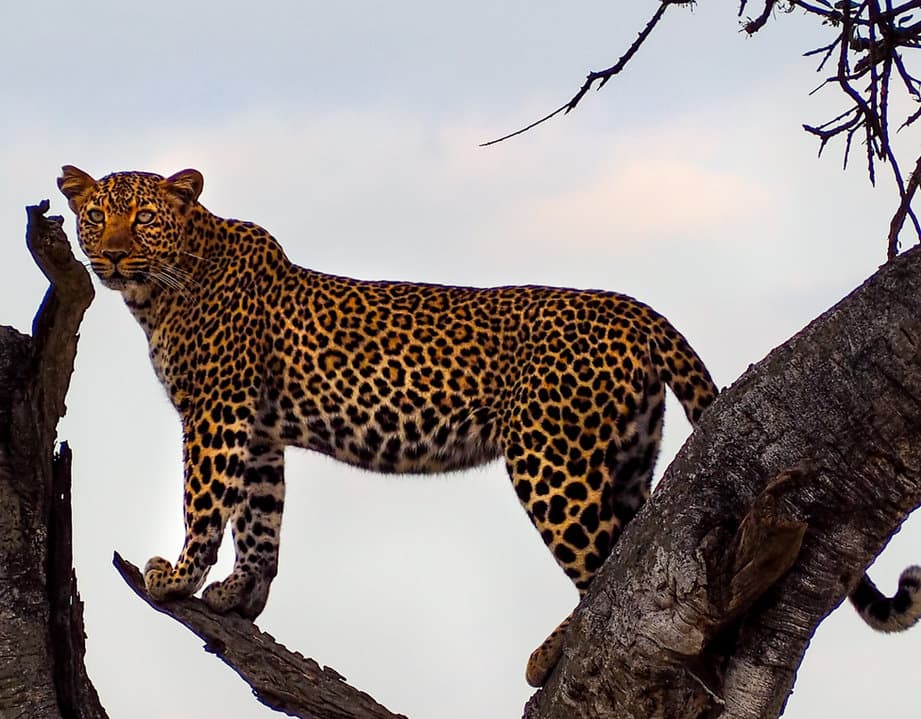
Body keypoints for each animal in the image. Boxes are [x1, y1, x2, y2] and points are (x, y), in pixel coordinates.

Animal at [57, 165, 921, 688]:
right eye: (94, 216)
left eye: (144, 219)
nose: (110, 255)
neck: (164, 289)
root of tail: (636, 308)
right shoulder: (259, 427)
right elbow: (261, 515)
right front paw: (244, 593)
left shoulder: (217, 412)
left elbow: (207, 500)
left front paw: (177, 575)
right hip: (622, 458)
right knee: (639, 552)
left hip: (550, 459)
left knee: (609, 569)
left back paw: (549, 654)